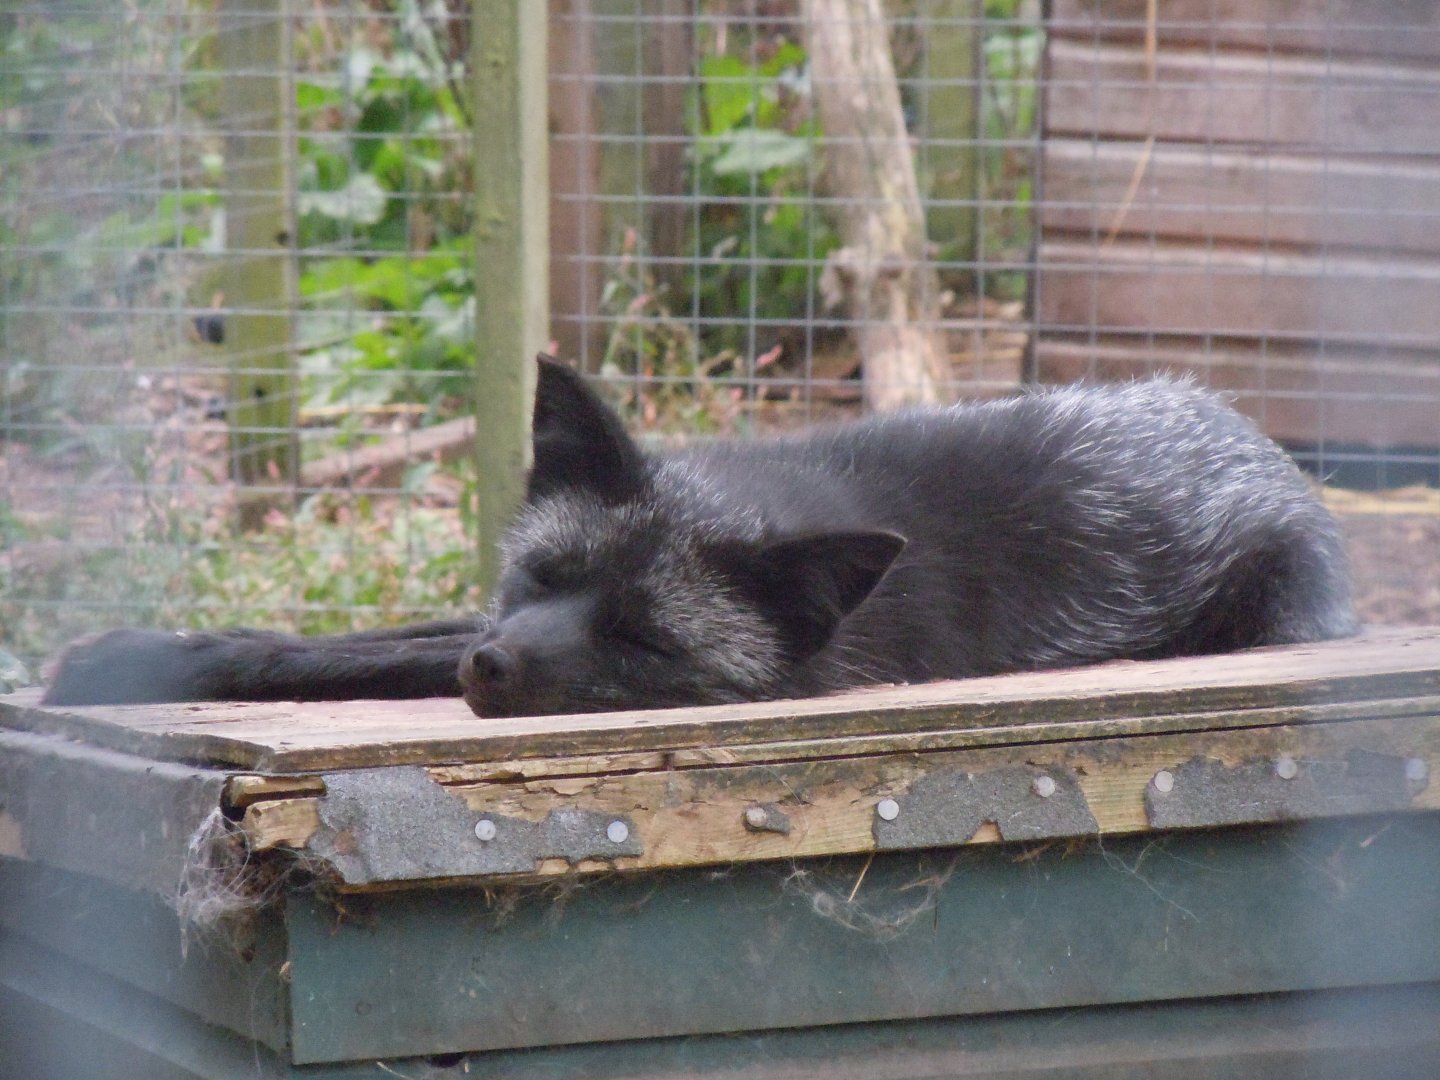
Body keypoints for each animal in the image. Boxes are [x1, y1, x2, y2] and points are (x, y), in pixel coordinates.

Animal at [42, 355, 1358, 717]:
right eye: (544, 575)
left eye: (644, 642)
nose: (494, 668)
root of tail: (1250, 435)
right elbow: (371, 641)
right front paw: (153, 655)